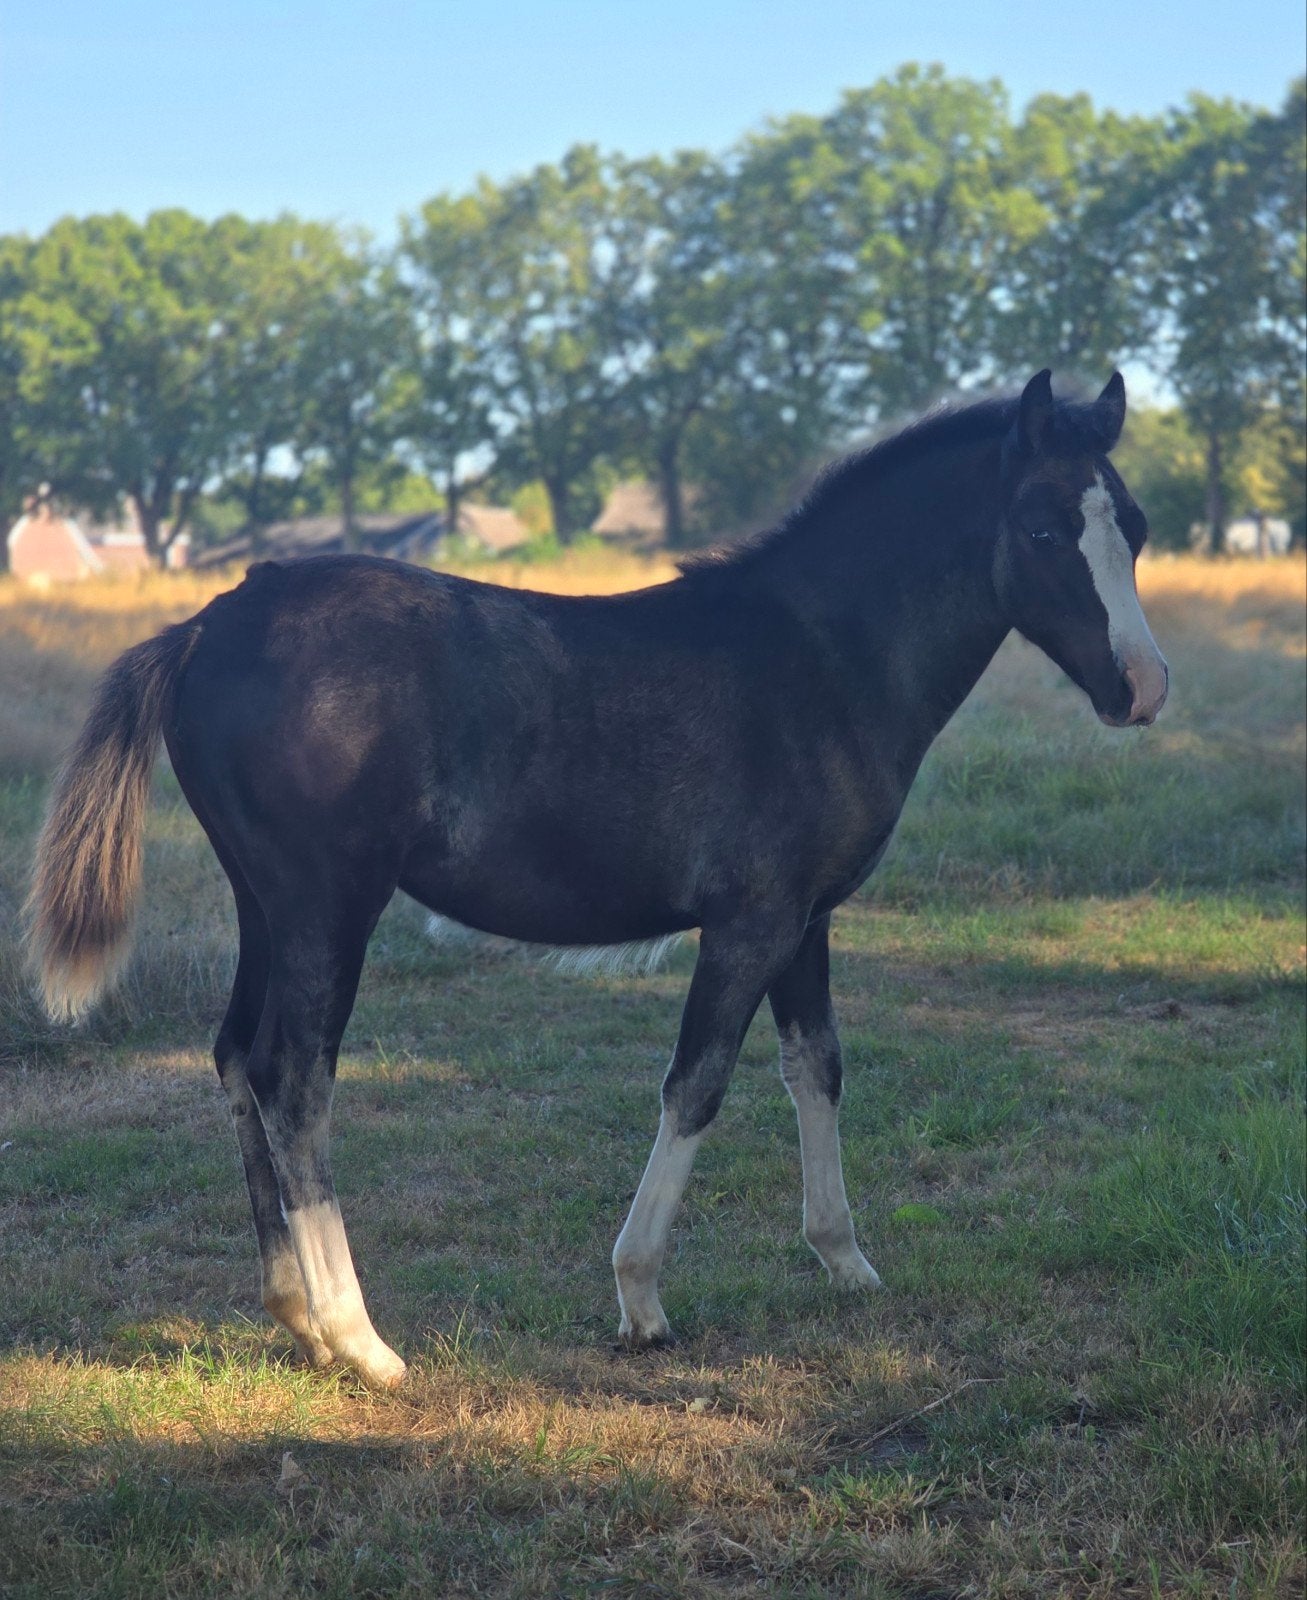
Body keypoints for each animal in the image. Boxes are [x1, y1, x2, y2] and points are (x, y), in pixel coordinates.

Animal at [27, 370, 1168, 1389]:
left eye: (1137, 524)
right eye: (1041, 531)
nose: (1142, 689)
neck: (819, 659)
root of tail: (207, 625)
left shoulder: (805, 922)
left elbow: (817, 1069)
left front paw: (844, 1261)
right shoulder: (749, 924)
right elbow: (696, 1085)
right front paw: (640, 1298)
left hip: (263, 908)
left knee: (234, 1059)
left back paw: (297, 1321)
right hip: (326, 909)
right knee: (292, 1079)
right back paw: (362, 1343)